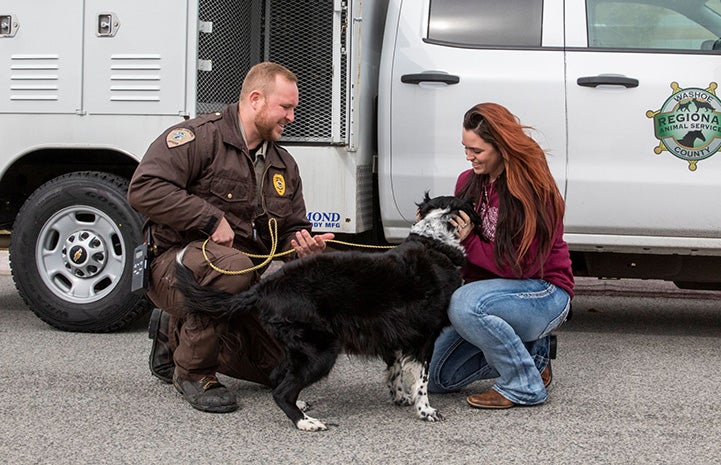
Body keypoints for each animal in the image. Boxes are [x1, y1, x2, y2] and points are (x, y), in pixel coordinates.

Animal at [174, 193, 478, 432]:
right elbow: (422, 381)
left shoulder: (394, 336)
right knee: (281, 392)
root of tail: (266, 286)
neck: (434, 243)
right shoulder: (424, 338)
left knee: (277, 378)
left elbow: (395, 371)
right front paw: (425, 410)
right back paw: (306, 422)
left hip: (301, 348)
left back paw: (301, 406)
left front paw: (400, 397)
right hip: (321, 350)